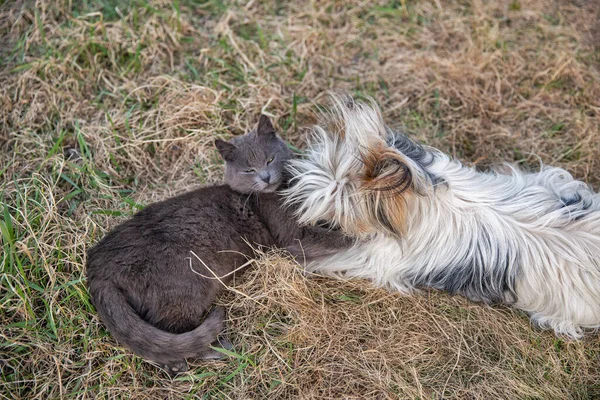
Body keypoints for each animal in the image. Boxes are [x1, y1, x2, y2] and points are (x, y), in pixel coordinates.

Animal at [86, 115, 354, 376]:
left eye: (270, 159)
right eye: (248, 169)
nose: (265, 177)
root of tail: (98, 265)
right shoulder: (293, 234)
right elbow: (327, 237)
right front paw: (359, 234)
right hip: (185, 284)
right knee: (173, 333)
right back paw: (210, 352)